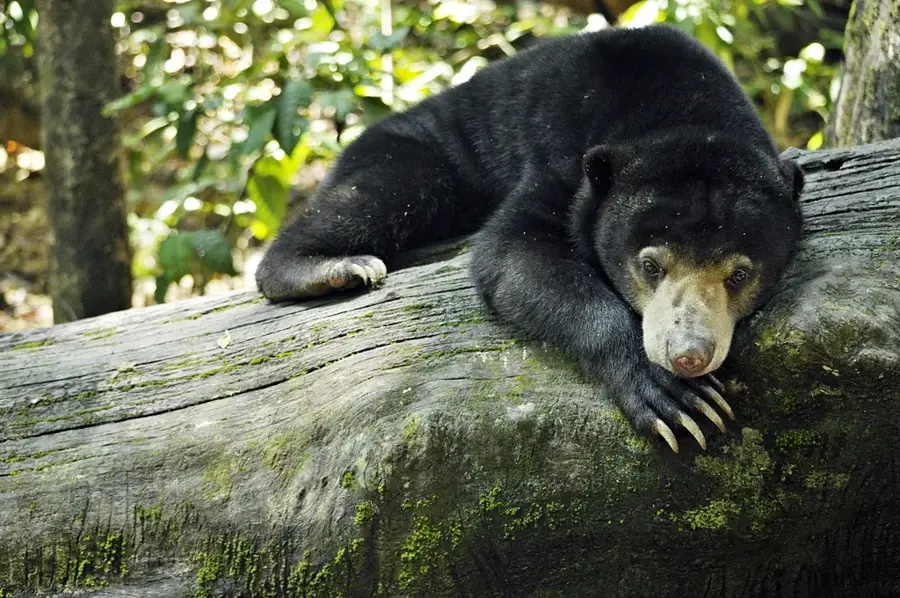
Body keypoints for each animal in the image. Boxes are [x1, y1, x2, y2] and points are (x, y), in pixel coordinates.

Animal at [255, 24, 804, 453]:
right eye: (651, 265)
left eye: (739, 274)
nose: (688, 355)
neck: (680, 109)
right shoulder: (562, 156)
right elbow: (511, 250)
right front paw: (675, 397)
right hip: (412, 152)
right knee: (382, 193)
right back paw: (334, 269)